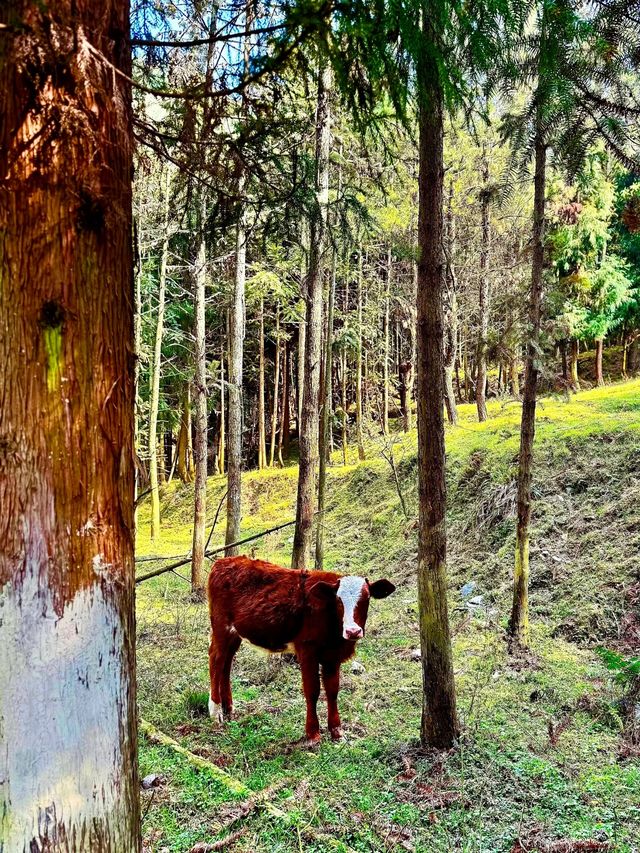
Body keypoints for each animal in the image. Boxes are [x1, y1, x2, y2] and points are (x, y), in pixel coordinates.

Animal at [208, 556, 396, 744]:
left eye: (367, 597)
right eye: (338, 600)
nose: (353, 631)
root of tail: (223, 561)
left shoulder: (332, 656)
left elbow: (333, 690)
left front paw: (337, 732)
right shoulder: (307, 651)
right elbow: (312, 690)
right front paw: (313, 734)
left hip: (235, 634)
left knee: (226, 663)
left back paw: (228, 708)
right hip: (222, 627)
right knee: (216, 660)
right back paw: (216, 712)